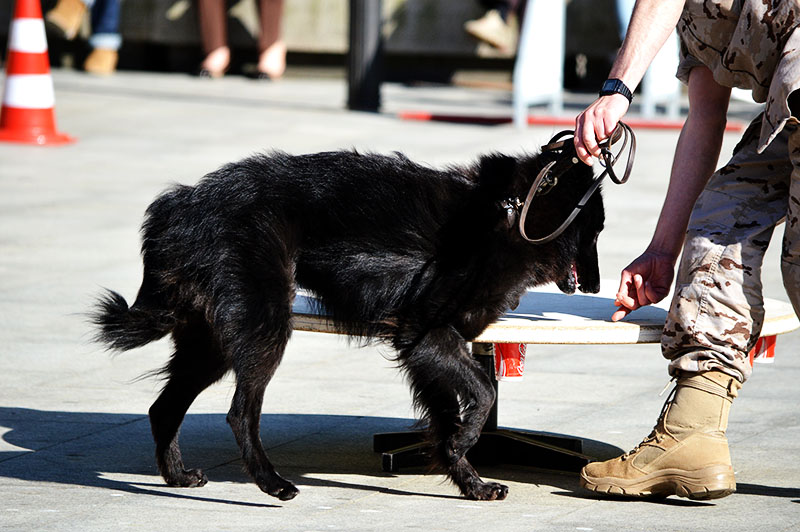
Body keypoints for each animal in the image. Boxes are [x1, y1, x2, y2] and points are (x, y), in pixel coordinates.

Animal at [92, 148, 600, 500]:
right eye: (594, 231)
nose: (596, 285)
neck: (511, 212)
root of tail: (187, 200)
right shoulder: (428, 336)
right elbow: (483, 393)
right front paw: (466, 446)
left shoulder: (420, 348)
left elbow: (445, 419)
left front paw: (467, 477)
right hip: (266, 329)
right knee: (240, 413)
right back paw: (272, 483)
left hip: (211, 344)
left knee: (164, 409)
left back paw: (177, 475)